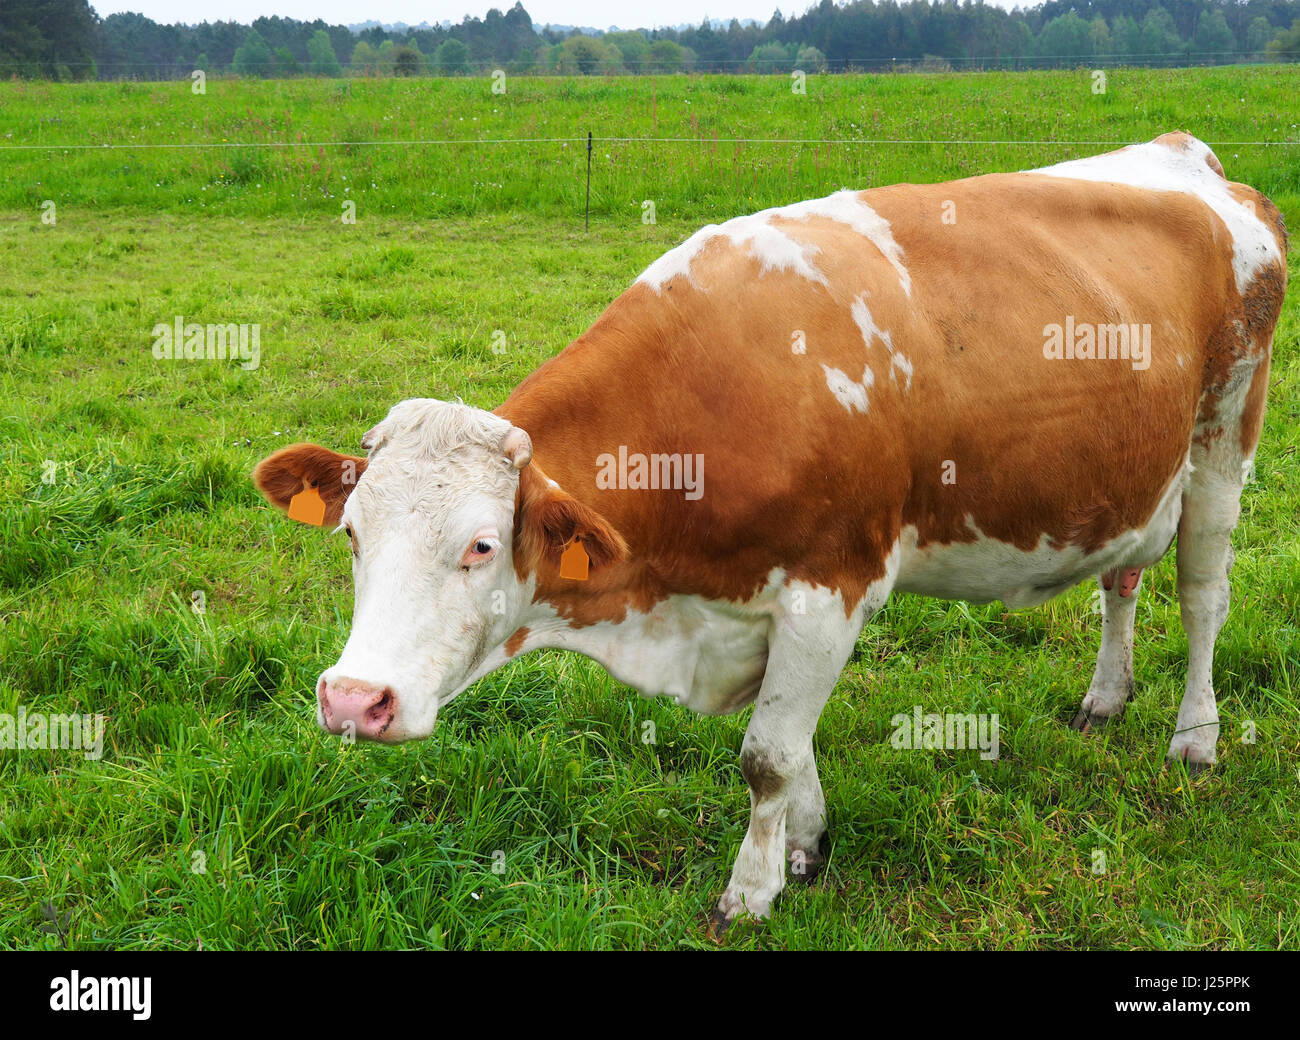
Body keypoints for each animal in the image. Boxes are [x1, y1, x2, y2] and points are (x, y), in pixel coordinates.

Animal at [254, 132, 1287, 933]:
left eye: (477, 545)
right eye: (352, 535)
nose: (352, 700)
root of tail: (1191, 158)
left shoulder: (832, 583)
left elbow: (767, 755)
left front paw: (748, 895)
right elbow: (795, 748)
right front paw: (805, 848)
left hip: (1222, 440)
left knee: (1203, 597)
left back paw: (1195, 739)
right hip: (1134, 479)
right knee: (1124, 581)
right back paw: (1105, 698)